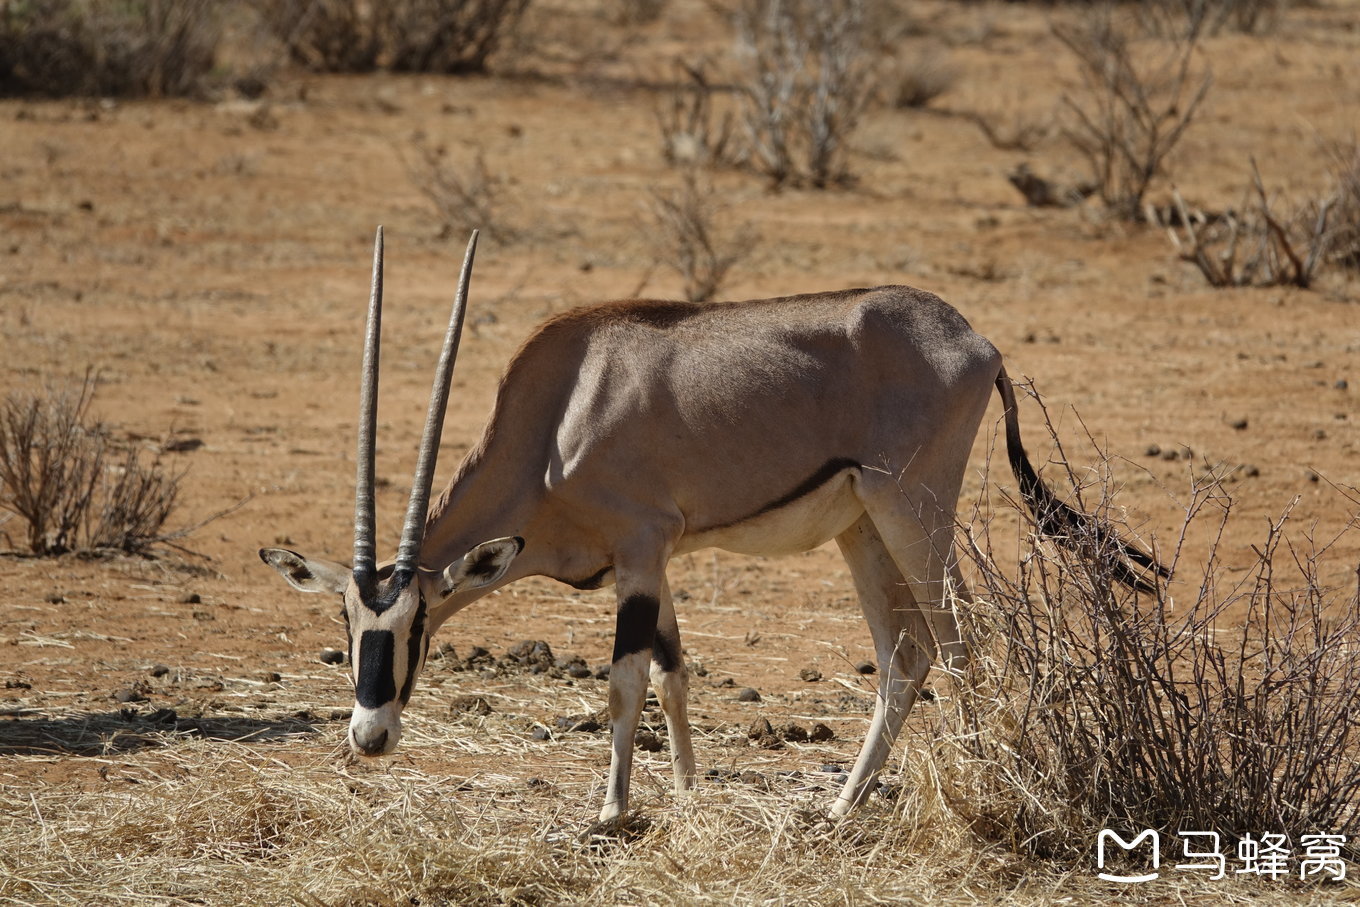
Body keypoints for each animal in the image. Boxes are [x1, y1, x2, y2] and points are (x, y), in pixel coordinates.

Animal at [259, 228, 1164, 821]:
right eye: (348, 623)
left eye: (415, 624)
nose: (370, 735)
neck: (555, 416)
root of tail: (979, 342)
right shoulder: (655, 560)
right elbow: (672, 670)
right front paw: (691, 792)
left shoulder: (638, 549)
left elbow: (624, 681)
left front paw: (612, 811)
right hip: (862, 528)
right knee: (905, 656)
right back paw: (841, 806)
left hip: (913, 510)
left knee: (961, 639)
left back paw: (978, 790)